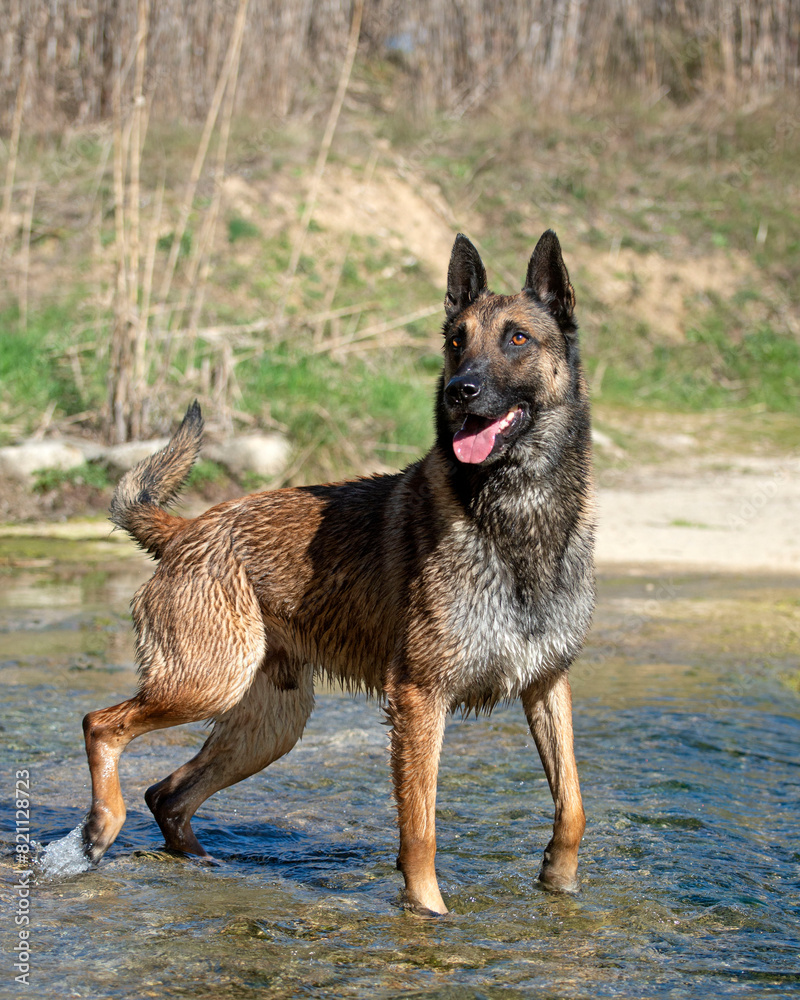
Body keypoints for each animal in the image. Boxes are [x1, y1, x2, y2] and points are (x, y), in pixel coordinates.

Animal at [81, 229, 592, 916]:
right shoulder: (419, 700)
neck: (514, 518)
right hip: (205, 685)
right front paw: (427, 917)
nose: (459, 391)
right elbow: (420, 831)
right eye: (457, 341)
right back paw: (100, 827)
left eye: (517, 338)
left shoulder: (546, 686)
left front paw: (557, 885)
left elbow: (573, 807)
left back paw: (201, 865)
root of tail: (187, 530)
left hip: (267, 725)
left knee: (168, 794)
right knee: (102, 727)